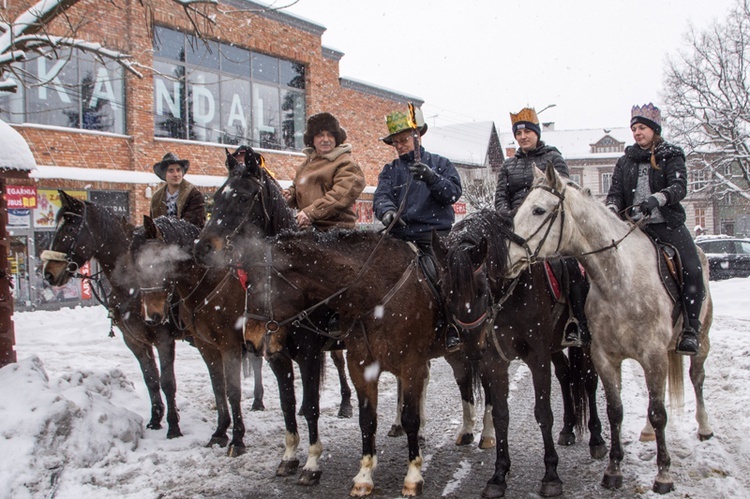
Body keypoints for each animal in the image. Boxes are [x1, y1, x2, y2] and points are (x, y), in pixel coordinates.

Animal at [438, 209, 608, 498]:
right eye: (446, 291)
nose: (472, 347)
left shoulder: (537, 357)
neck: (511, 289)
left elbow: (543, 413)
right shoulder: (494, 362)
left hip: (583, 344)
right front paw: (498, 475)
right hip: (554, 347)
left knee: (588, 380)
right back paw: (568, 428)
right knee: (565, 375)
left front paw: (551, 475)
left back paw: (596, 439)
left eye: (481, 290)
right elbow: (501, 415)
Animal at [508, 166, 712, 494]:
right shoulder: (604, 356)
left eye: (538, 210)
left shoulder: (653, 356)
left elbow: (659, 413)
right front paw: (613, 469)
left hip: (701, 340)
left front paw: (663, 474)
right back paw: (645, 432)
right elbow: (616, 410)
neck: (618, 280)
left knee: (697, 377)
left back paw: (704, 427)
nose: (507, 255)